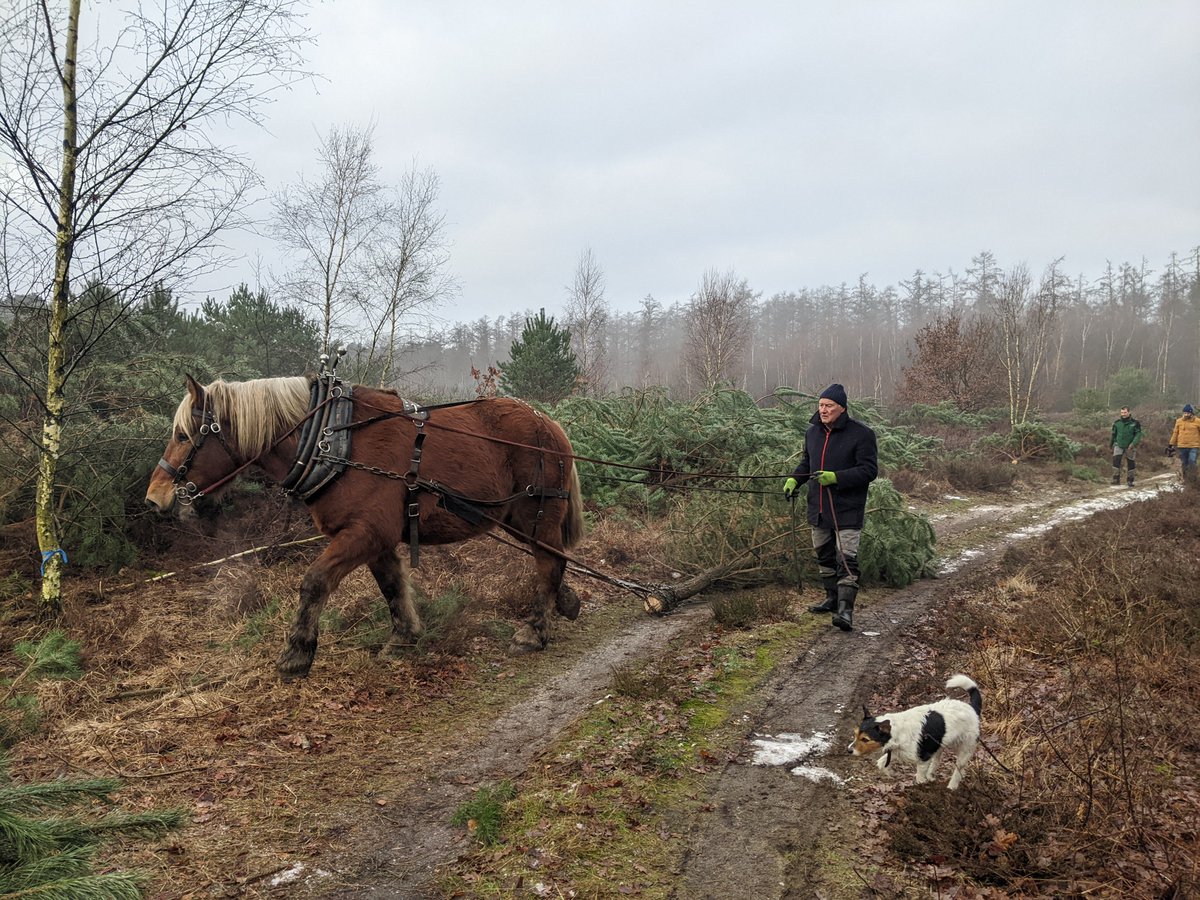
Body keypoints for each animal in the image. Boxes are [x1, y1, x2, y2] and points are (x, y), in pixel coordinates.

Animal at [145, 374, 585, 679]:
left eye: (182, 435)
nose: (154, 497)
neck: (331, 442)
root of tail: (551, 425)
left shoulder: (364, 533)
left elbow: (315, 582)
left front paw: (297, 654)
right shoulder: (377, 538)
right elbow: (391, 586)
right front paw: (404, 637)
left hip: (536, 514)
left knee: (547, 564)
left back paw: (534, 631)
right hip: (514, 519)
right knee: (551, 562)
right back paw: (565, 603)